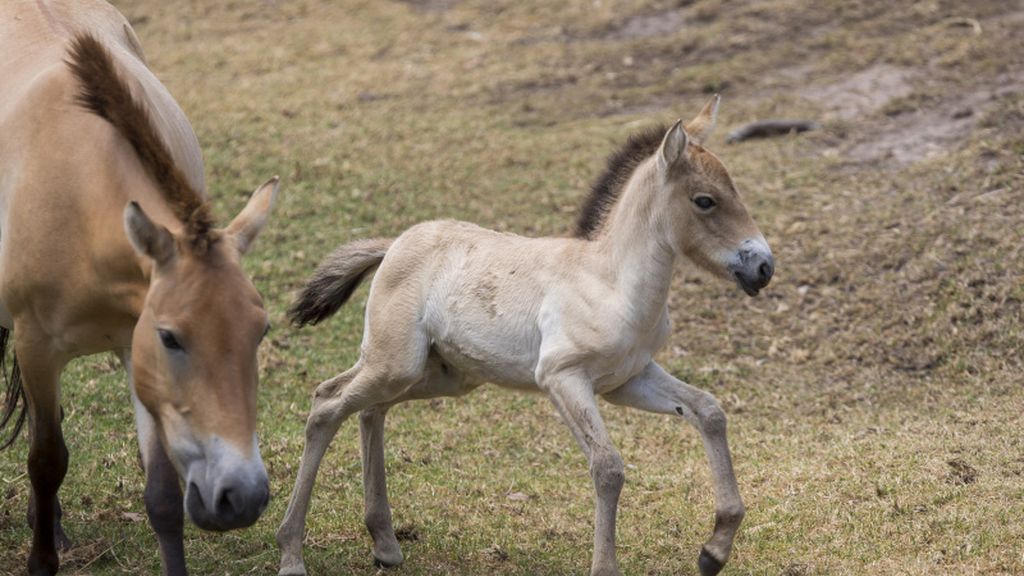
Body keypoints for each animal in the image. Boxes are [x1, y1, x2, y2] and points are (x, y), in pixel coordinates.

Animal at [0, 2, 278, 574]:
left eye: (260, 332)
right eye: (172, 337)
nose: (242, 497)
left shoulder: (135, 345)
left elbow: (164, 496)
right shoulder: (35, 347)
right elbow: (46, 459)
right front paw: (40, 559)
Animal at [276, 96, 773, 576]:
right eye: (705, 200)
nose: (763, 266)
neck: (611, 283)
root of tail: (392, 245)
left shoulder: (628, 379)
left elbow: (709, 411)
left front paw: (714, 551)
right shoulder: (562, 377)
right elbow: (608, 467)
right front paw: (607, 566)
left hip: (438, 375)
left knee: (366, 409)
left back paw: (385, 544)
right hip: (394, 362)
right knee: (327, 405)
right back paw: (292, 555)